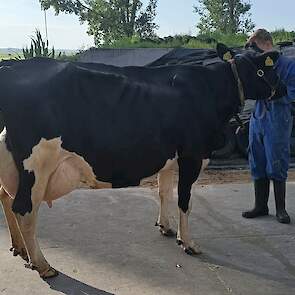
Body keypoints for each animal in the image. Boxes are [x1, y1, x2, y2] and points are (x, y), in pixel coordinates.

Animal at [0, 44, 286, 280]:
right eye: (264, 69)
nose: (283, 90)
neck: (210, 88)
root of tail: (13, 66)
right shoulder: (193, 155)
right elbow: (185, 201)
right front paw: (188, 243)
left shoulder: (169, 158)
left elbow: (164, 192)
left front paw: (165, 227)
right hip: (36, 164)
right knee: (24, 208)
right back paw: (42, 265)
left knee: (6, 198)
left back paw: (20, 248)